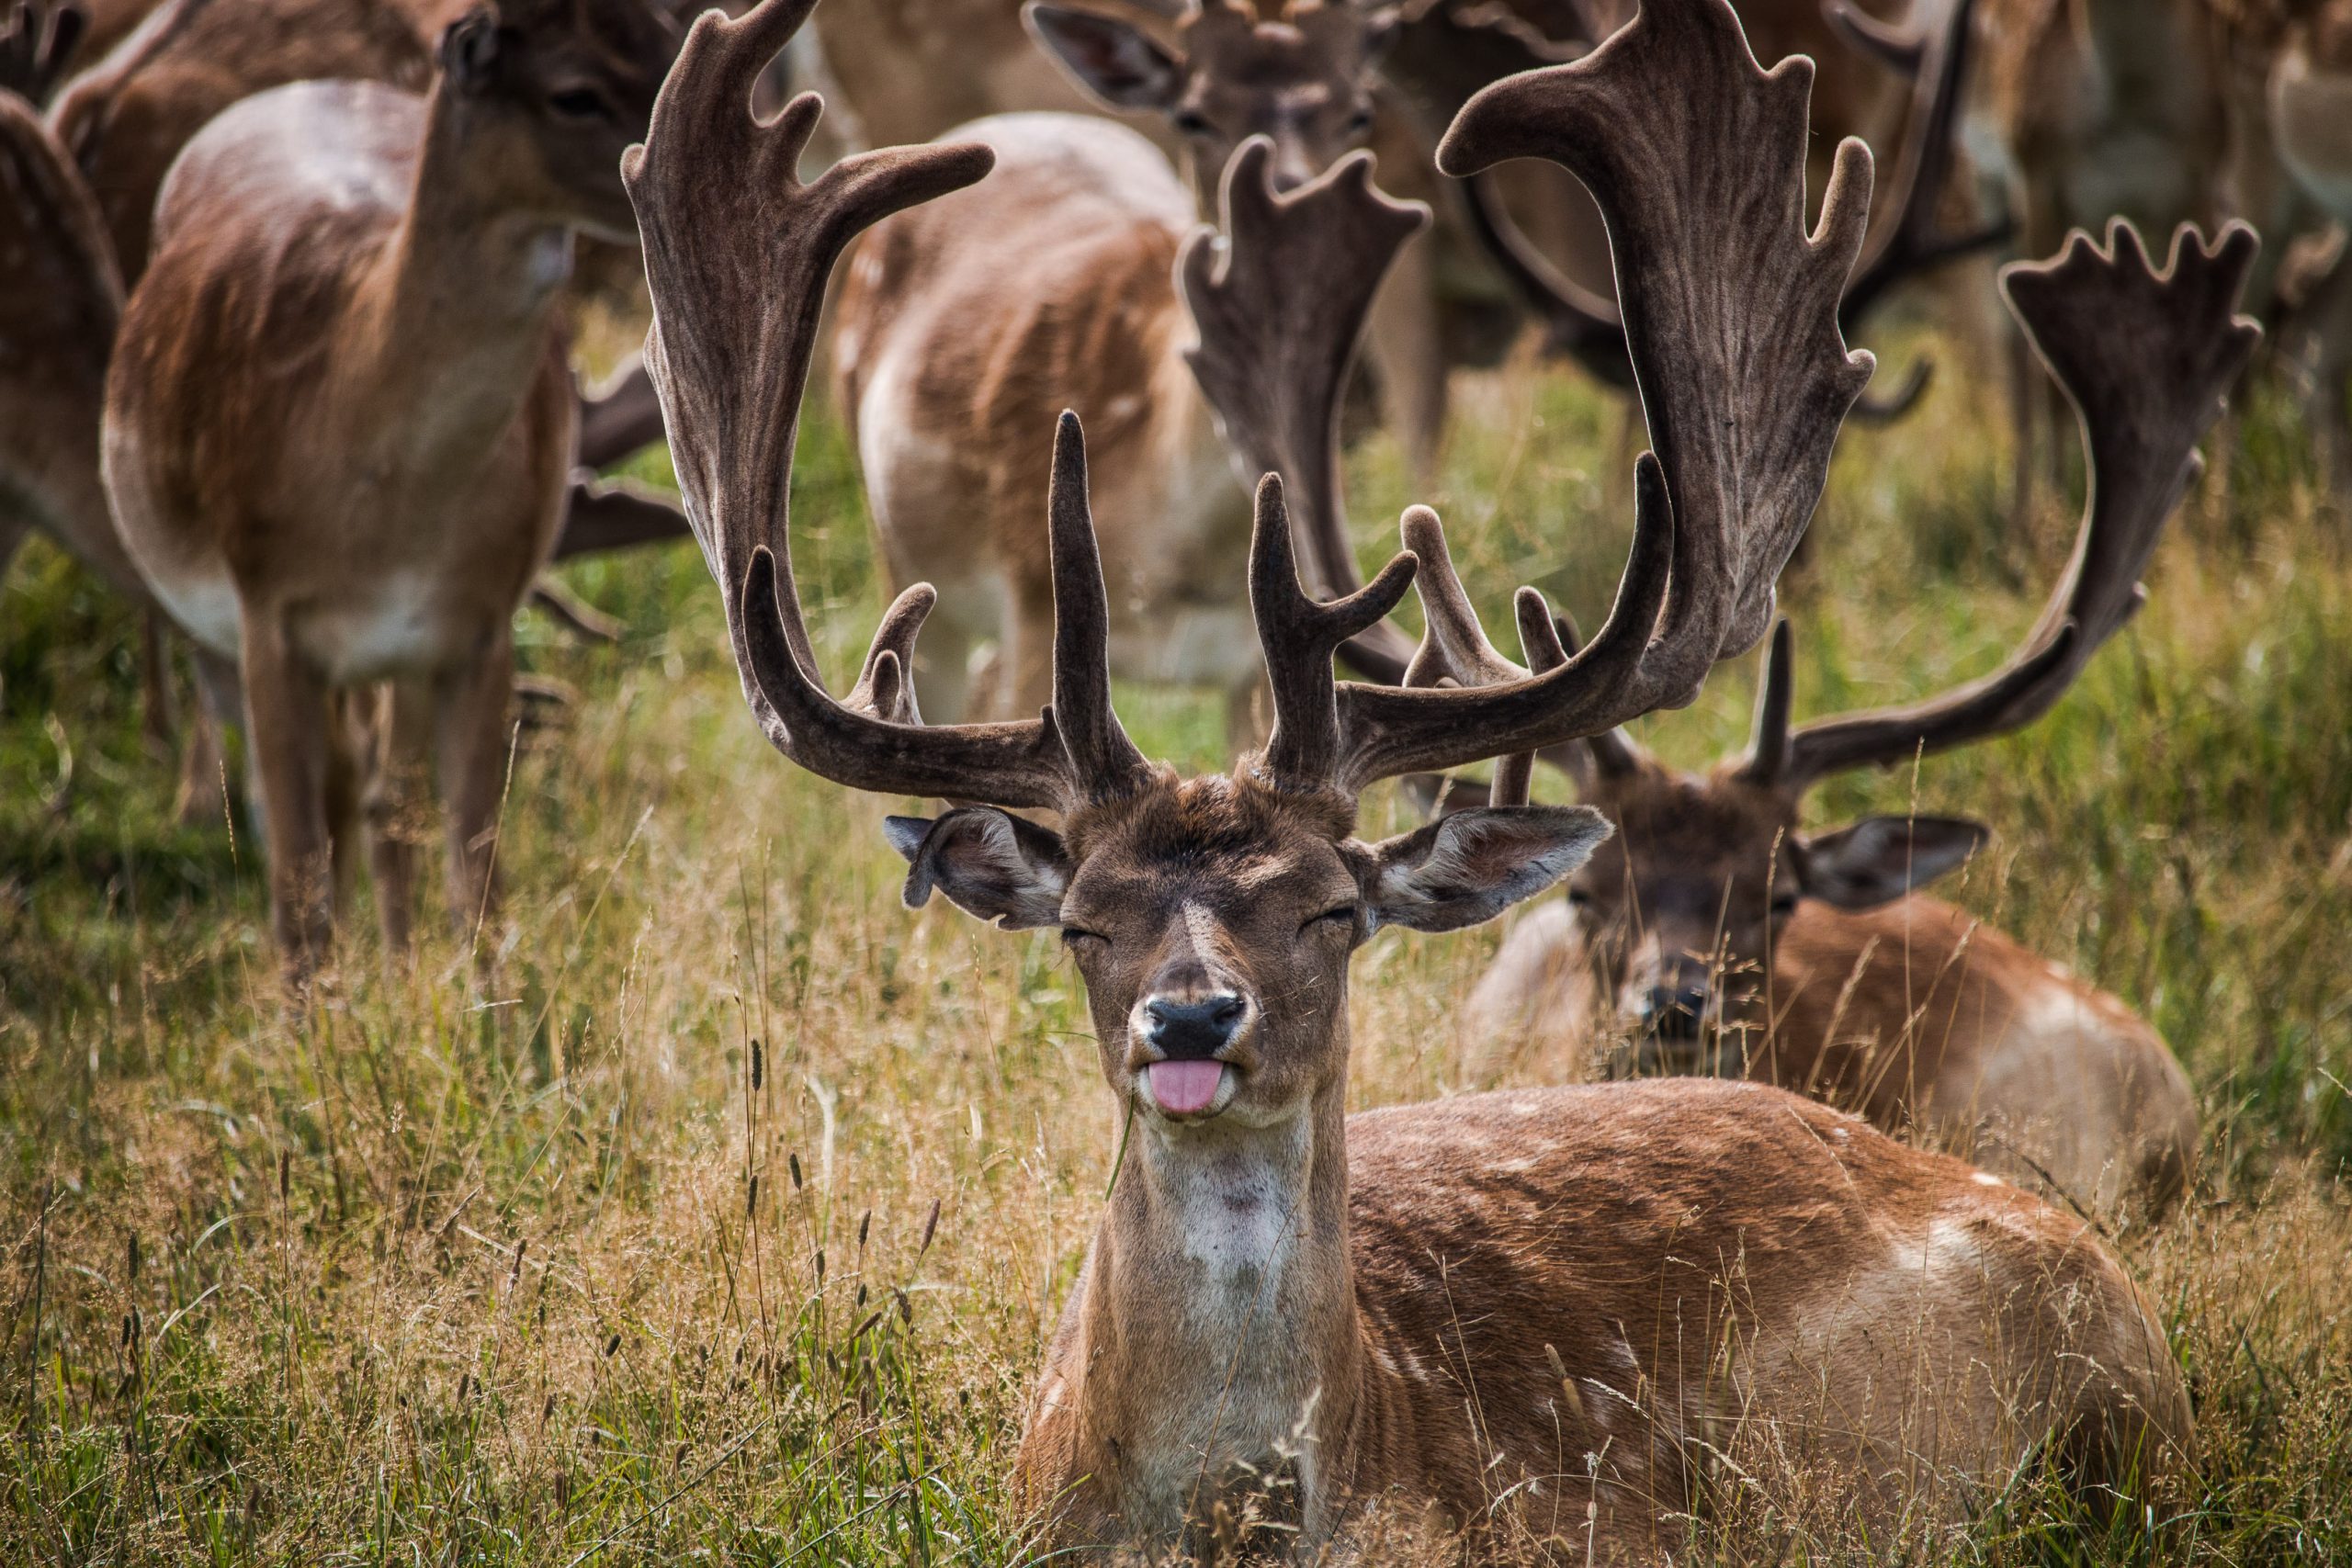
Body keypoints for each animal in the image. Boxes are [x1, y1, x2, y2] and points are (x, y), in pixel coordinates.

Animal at [103, 0, 686, 982]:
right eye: (574, 91)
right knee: (330, 804)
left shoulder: (472, 626)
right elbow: (297, 876)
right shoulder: (268, 612)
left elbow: (474, 871)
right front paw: (318, 1010)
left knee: (384, 802)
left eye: (667, 45)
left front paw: (467, 999)